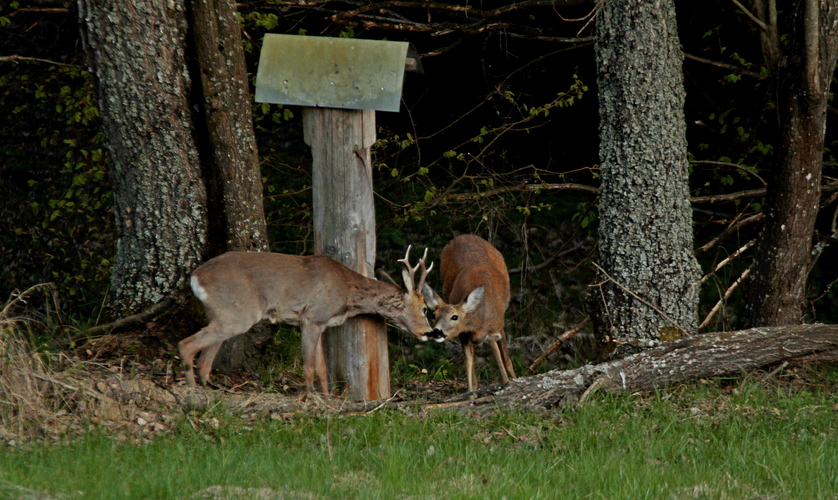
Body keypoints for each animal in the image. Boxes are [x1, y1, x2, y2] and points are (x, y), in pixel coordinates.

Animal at [179, 247, 440, 394]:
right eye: (425, 308)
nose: (429, 332)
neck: (347, 292)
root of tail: (195, 277)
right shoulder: (312, 318)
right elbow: (309, 365)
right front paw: (311, 396)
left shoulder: (322, 324)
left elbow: (322, 368)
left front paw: (327, 397)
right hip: (237, 313)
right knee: (186, 344)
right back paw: (192, 393)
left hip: (225, 314)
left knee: (205, 359)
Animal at [424, 234, 516, 394]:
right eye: (433, 315)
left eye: (454, 317)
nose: (437, 332)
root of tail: (464, 236)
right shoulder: (463, 334)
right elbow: (468, 360)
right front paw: (470, 392)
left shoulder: (495, 328)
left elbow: (500, 355)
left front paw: (508, 382)